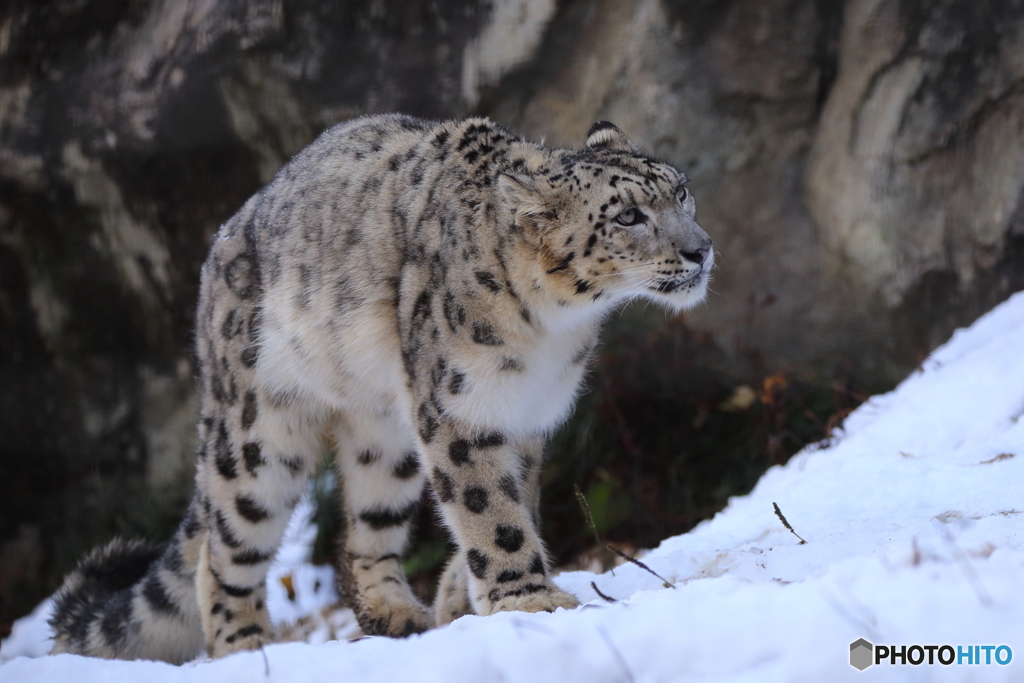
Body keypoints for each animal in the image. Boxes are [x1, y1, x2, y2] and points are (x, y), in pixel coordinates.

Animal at [48, 116, 712, 663]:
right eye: (627, 216)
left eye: (681, 191)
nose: (700, 249)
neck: (553, 331)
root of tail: (222, 241)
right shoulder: (461, 406)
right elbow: (488, 508)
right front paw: (529, 601)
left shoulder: (523, 414)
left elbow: (514, 499)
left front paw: (460, 597)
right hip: (259, 432)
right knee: (223, 543)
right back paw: (247, 649)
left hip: (386, 435)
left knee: (361, 527)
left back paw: (397, 613)